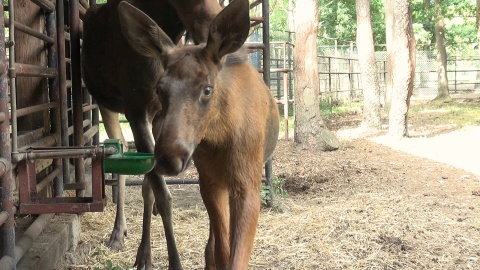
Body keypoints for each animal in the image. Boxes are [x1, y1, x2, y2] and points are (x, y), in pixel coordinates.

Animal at [82, 0, 221, 268]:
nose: (213, 25)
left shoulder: (160, 115)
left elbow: (149, 186)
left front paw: (144, 253)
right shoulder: (136, 111)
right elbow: (164, 196)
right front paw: (172, 262)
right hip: (105, 102)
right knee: (119, 149)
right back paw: (117, 232)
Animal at [117, 0, 280, 268]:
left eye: (207, 89)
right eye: (159, 89)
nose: (169, 158)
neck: (222, 137)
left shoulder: (247, 183)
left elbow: (236, 258)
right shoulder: (210, 182)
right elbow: (222, 252)